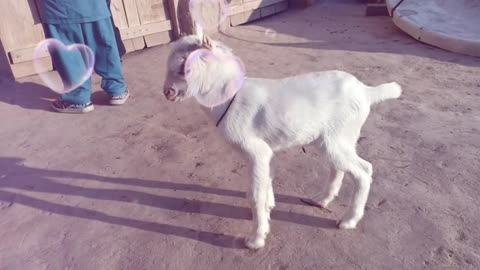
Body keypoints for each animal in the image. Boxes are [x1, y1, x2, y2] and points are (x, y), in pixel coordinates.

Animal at [163, 31, 404, 249]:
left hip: (338, 138)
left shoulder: (257, 152)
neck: (230, 98)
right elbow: (266, 181)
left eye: (183, 67)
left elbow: (254, 194)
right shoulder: (266, 153)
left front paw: (256, 239)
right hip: (335, 140)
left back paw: (348, 220)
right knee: (339, 167)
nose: (167, 93)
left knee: (363, 170)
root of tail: (366, 92)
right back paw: (321, 200)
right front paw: (269, 208)